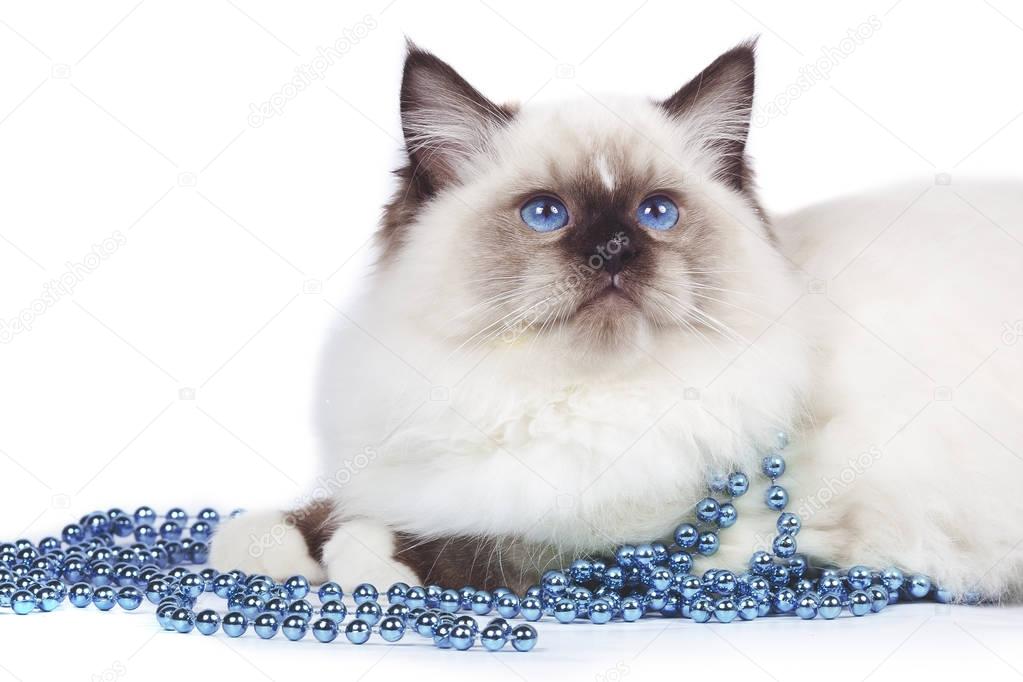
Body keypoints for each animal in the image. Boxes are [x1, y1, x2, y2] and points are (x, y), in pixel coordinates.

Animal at [209, 40, 1023, 601]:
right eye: (546, 214)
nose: (615, 251)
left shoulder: (678, 543)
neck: (544, 396)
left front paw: (359, 561)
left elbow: (487, 544)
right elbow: (326, 509)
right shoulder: (409, 470)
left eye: (655, 213)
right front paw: (260, 547)